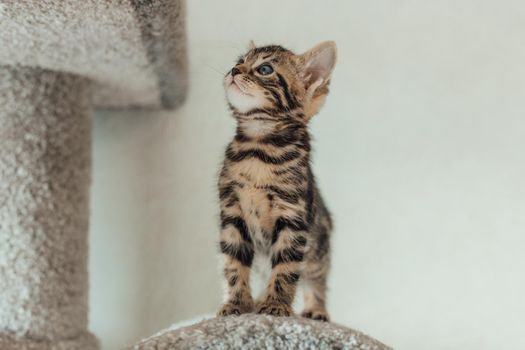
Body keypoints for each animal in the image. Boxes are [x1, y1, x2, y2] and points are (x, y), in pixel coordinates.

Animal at [216, 41, 336, 322]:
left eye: (265, 69)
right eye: (239, 61)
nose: (234, 70)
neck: (258, 149)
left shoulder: (293, 217)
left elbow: (285, 268)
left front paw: (276, 306)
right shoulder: (231, 213)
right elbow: (233, 263)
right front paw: (236, 304)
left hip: (318, 248)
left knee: (316, 279)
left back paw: (316, 310)